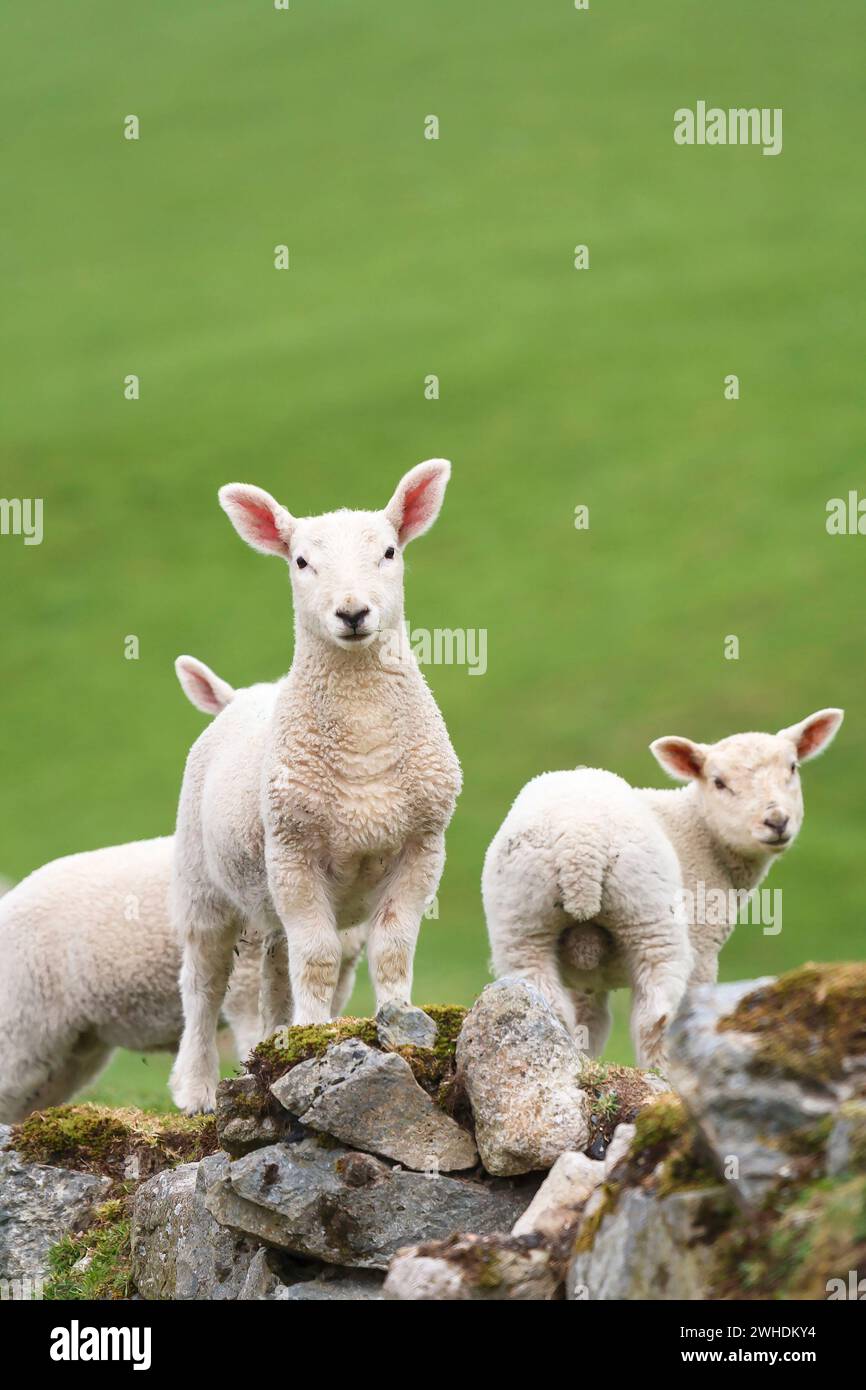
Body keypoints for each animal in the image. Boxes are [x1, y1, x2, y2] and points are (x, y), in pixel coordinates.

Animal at [171, 461, 464, 1112]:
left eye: (389, 551)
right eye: (301, 561)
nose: (352, 613)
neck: (364, 742)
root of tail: (244, 696)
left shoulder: (423, 847)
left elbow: (391, 949)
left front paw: (396, 1021)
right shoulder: (294, 852)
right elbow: (320, 958)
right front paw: (317, 1037)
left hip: (266, 895)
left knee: (274, 969)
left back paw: (277, 1034)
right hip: (203, 884)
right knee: (202, 986)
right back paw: (199, 1088)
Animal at [480, 711, 839, 1067]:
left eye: (792, 767)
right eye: (718, 782)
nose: (776, 821)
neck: (701, 833)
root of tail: (579, 844)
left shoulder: (586, 982)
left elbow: (589, 1025)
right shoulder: (703, 947)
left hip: (522, 926)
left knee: (549, 1003)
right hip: (650, 918)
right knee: (656, 1018)